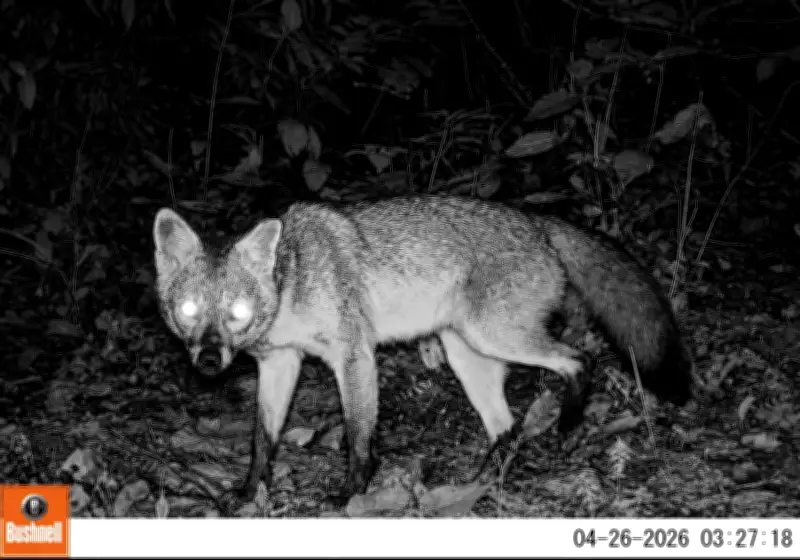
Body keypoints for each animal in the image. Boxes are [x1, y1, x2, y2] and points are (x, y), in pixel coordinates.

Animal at [152, 195, 693, 508]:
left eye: (238, 312)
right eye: (189, 309)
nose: (208, 361)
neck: (292, 289)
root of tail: (536, 220)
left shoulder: (353, 354)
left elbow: (358, 435)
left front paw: (352, 493)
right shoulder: (279, 363)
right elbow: (262, 439)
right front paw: (248, 491)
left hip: (495, 337)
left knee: (581, 361)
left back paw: (567, 423)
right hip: (467, 353)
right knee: (508, 427)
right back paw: (483, 483)